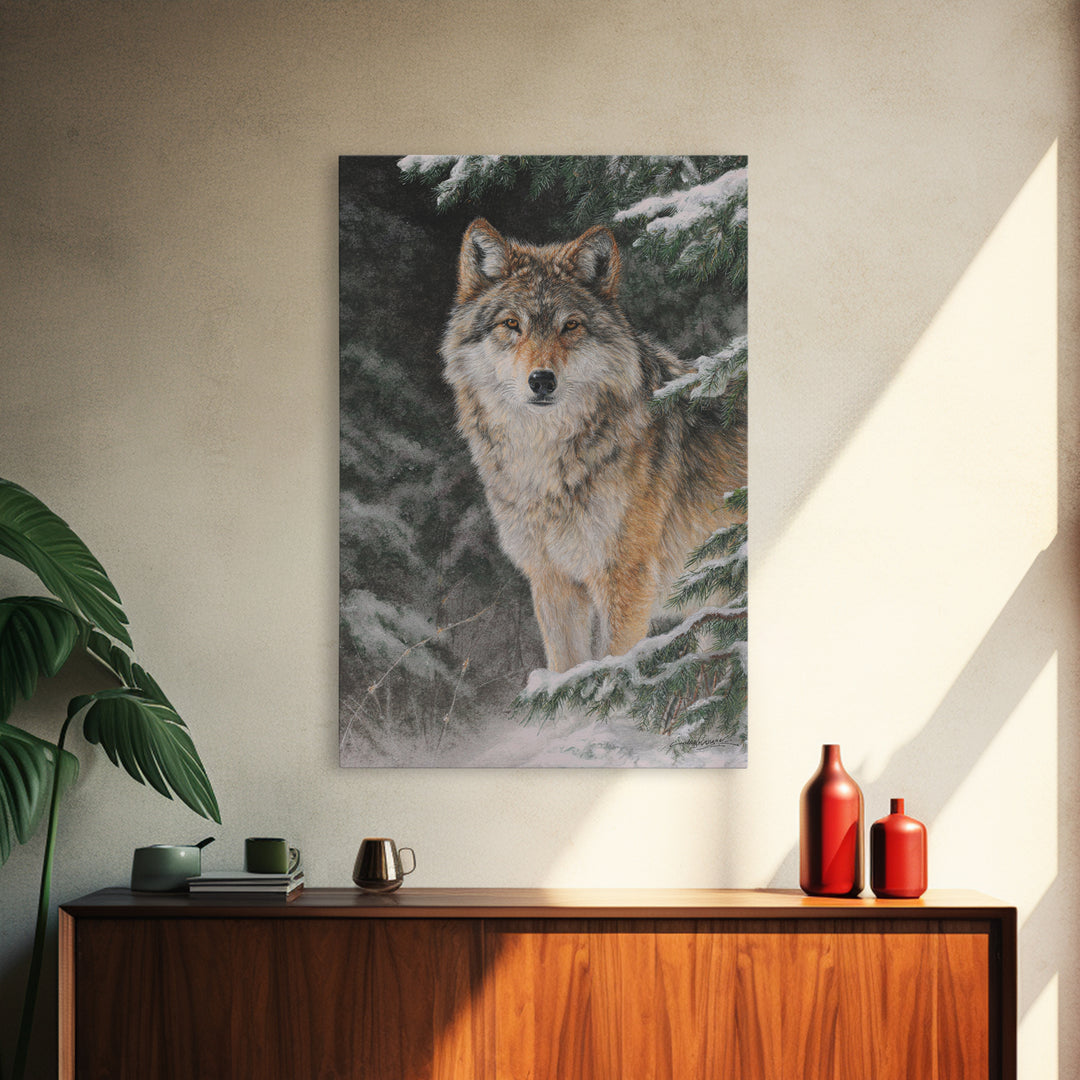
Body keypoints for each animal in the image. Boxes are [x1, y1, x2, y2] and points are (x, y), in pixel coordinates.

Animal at [440, 218, 747, 674]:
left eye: (570, 325)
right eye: (511, 324)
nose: (542, 380)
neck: (546, 465)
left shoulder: (624, 579)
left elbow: (612, 671)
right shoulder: (552, 580)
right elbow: (568, 672)